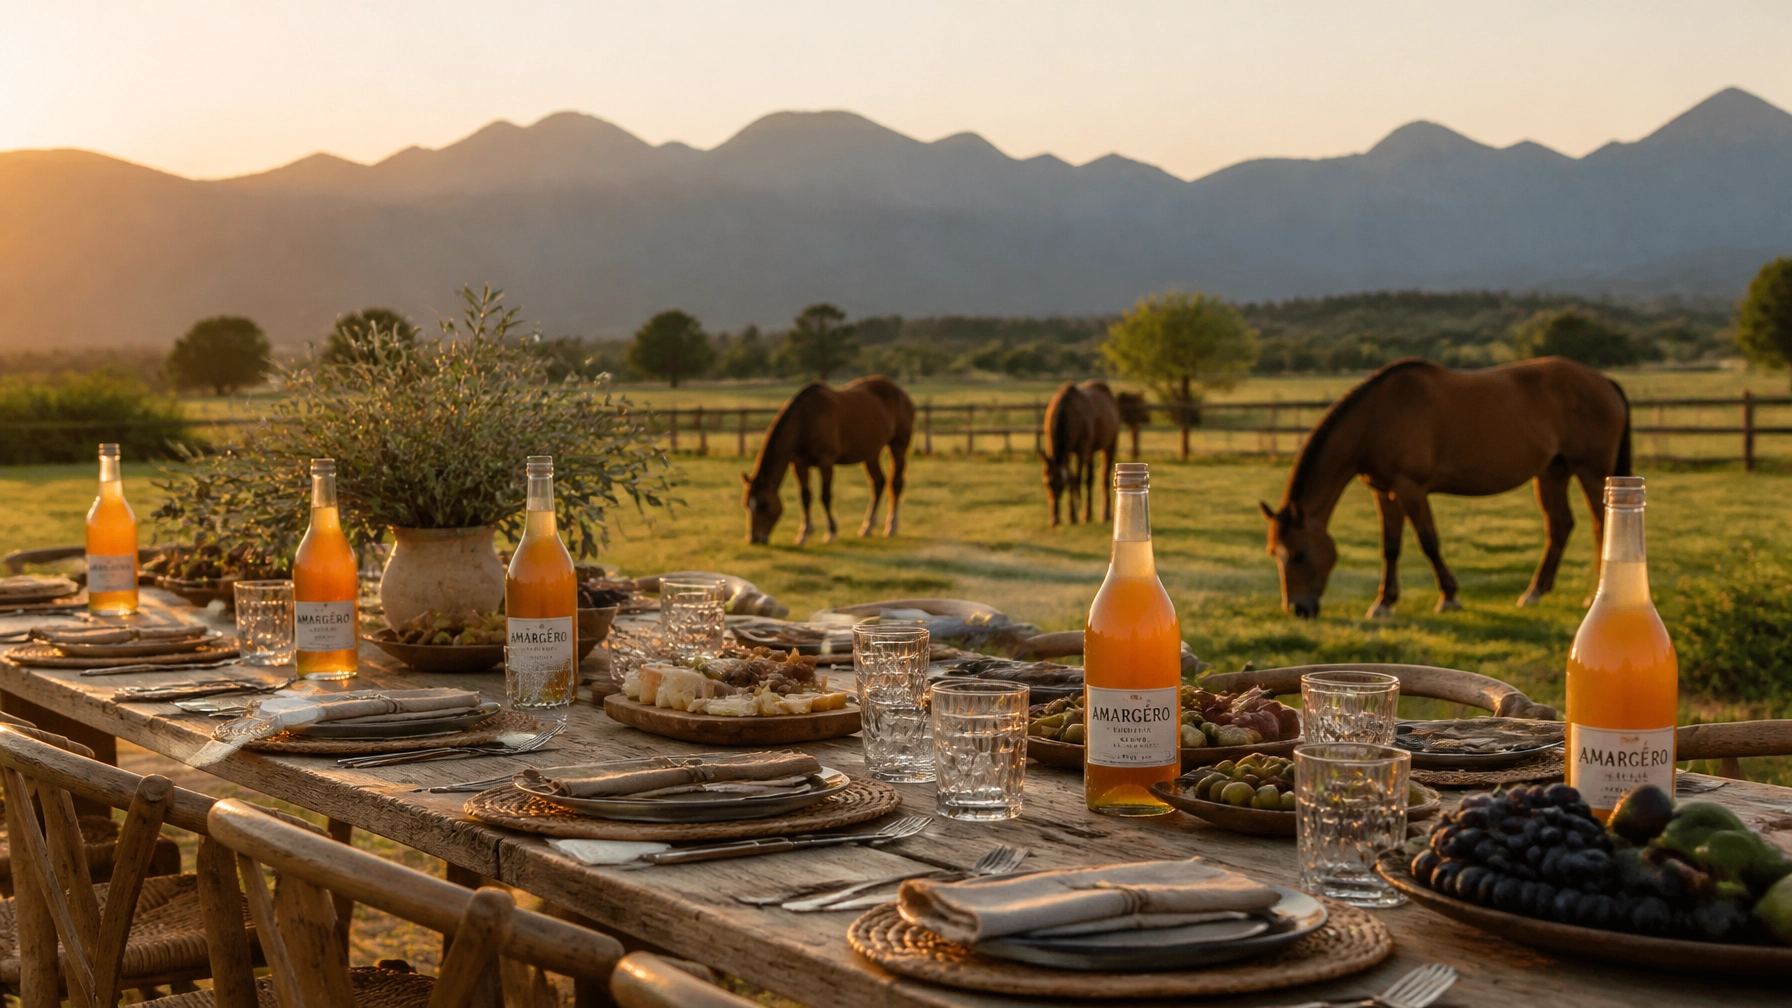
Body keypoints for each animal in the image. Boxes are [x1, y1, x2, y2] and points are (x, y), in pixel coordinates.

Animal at [742, 376, 915, 545]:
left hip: (898, 446)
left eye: (764, 506)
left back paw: (891, 526)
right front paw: (803, 534)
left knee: (896, 483)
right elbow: (805, 497)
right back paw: (867, 527)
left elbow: (825, 496)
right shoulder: (799, 465)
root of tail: (902, 393)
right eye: (746, 505)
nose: (754, 539)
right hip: (871, 453)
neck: (805, 420)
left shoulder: (826, 463)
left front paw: (831, 532)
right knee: (878, 482)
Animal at [1039, 380, 1121, 525]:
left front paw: (1073, 515)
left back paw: (1105, 514)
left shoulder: (1081, 451)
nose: (1054, 520)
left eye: (1061, 484)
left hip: (1109, 445)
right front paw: (1072, 514)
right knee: (1089, 479)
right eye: (1047, 483)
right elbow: (1072, 478)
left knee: (1104, 476)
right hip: (1090, 451)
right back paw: (1087, 514)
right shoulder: (1068, 453)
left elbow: (1076, 480)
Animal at [1260, 357, 1631, 619]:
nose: (1298, 609)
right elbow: (1390, 546)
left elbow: (1428, 541)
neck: (1378, 417)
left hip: (1592, 472)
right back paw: (1534, 592)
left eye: (1299, 554)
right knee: (1559, 526)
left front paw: (1449, 597)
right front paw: (1384, 603)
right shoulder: (1384, 491)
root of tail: (1605, 381)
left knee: (1601, 524)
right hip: (1553, 472)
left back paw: (1593, 594)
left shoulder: (1410, 488)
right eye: (1274, 555)